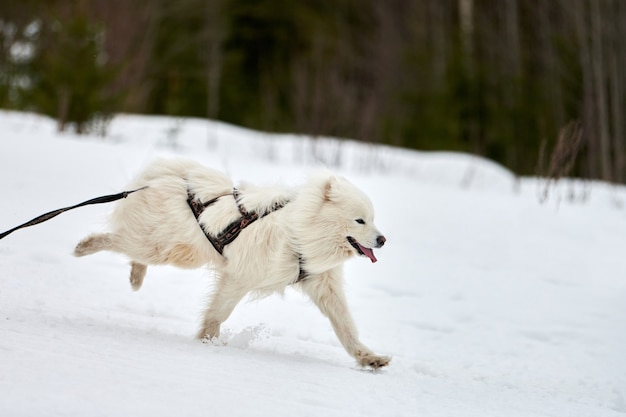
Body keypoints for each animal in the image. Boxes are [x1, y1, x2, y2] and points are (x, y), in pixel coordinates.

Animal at [70, 157, 388, 368]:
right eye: (359, 220)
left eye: (373, 219)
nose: (383, 239)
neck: (300, 232)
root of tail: (167, 175)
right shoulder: (241, 276)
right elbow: (218, 313)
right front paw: (208, 341)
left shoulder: (322, 283)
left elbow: (346, 327)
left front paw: (370, 358)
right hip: (165, 247)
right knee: (117, 240)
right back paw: (84, 248)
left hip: (177, 250)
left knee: (134, 251)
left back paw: (135, 277)